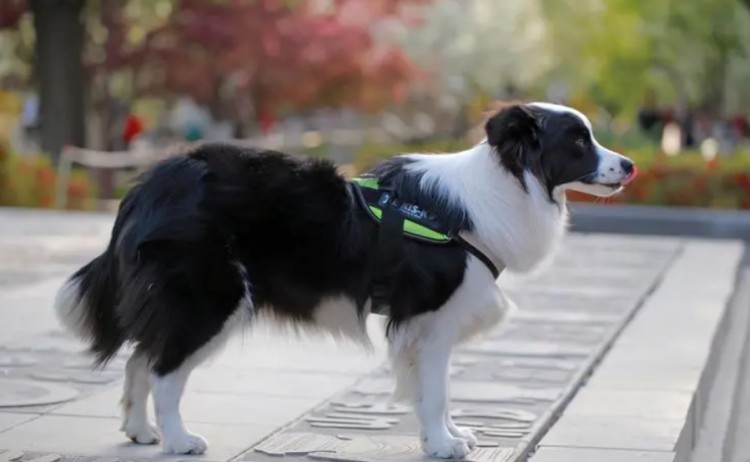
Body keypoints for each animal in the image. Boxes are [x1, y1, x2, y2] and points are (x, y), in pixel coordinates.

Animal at [55, 102, 636, 458]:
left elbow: (436, 392)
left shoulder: (426, 325)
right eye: (578, 143)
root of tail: (149, 184)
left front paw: (450, 437)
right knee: (163, 370)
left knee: (141, 356)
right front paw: (442, 444)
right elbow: (436, 391)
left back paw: (140, 432)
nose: (629, 165)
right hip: (212, 298)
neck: (505, 185)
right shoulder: (430, 319)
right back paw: (178, 438)